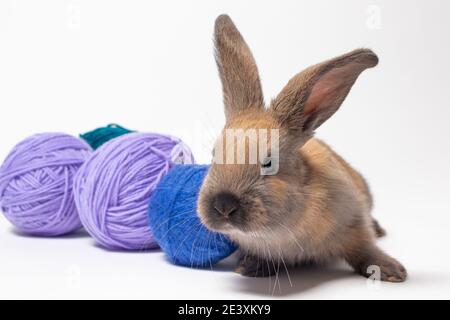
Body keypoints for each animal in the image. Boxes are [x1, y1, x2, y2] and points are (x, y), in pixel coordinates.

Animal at [198, 14, 408, 282]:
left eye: (269, 163)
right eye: (214, 155)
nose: (223, 205)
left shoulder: (354, 221)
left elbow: (364, 248)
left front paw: (392, 271)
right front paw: (251, 267)